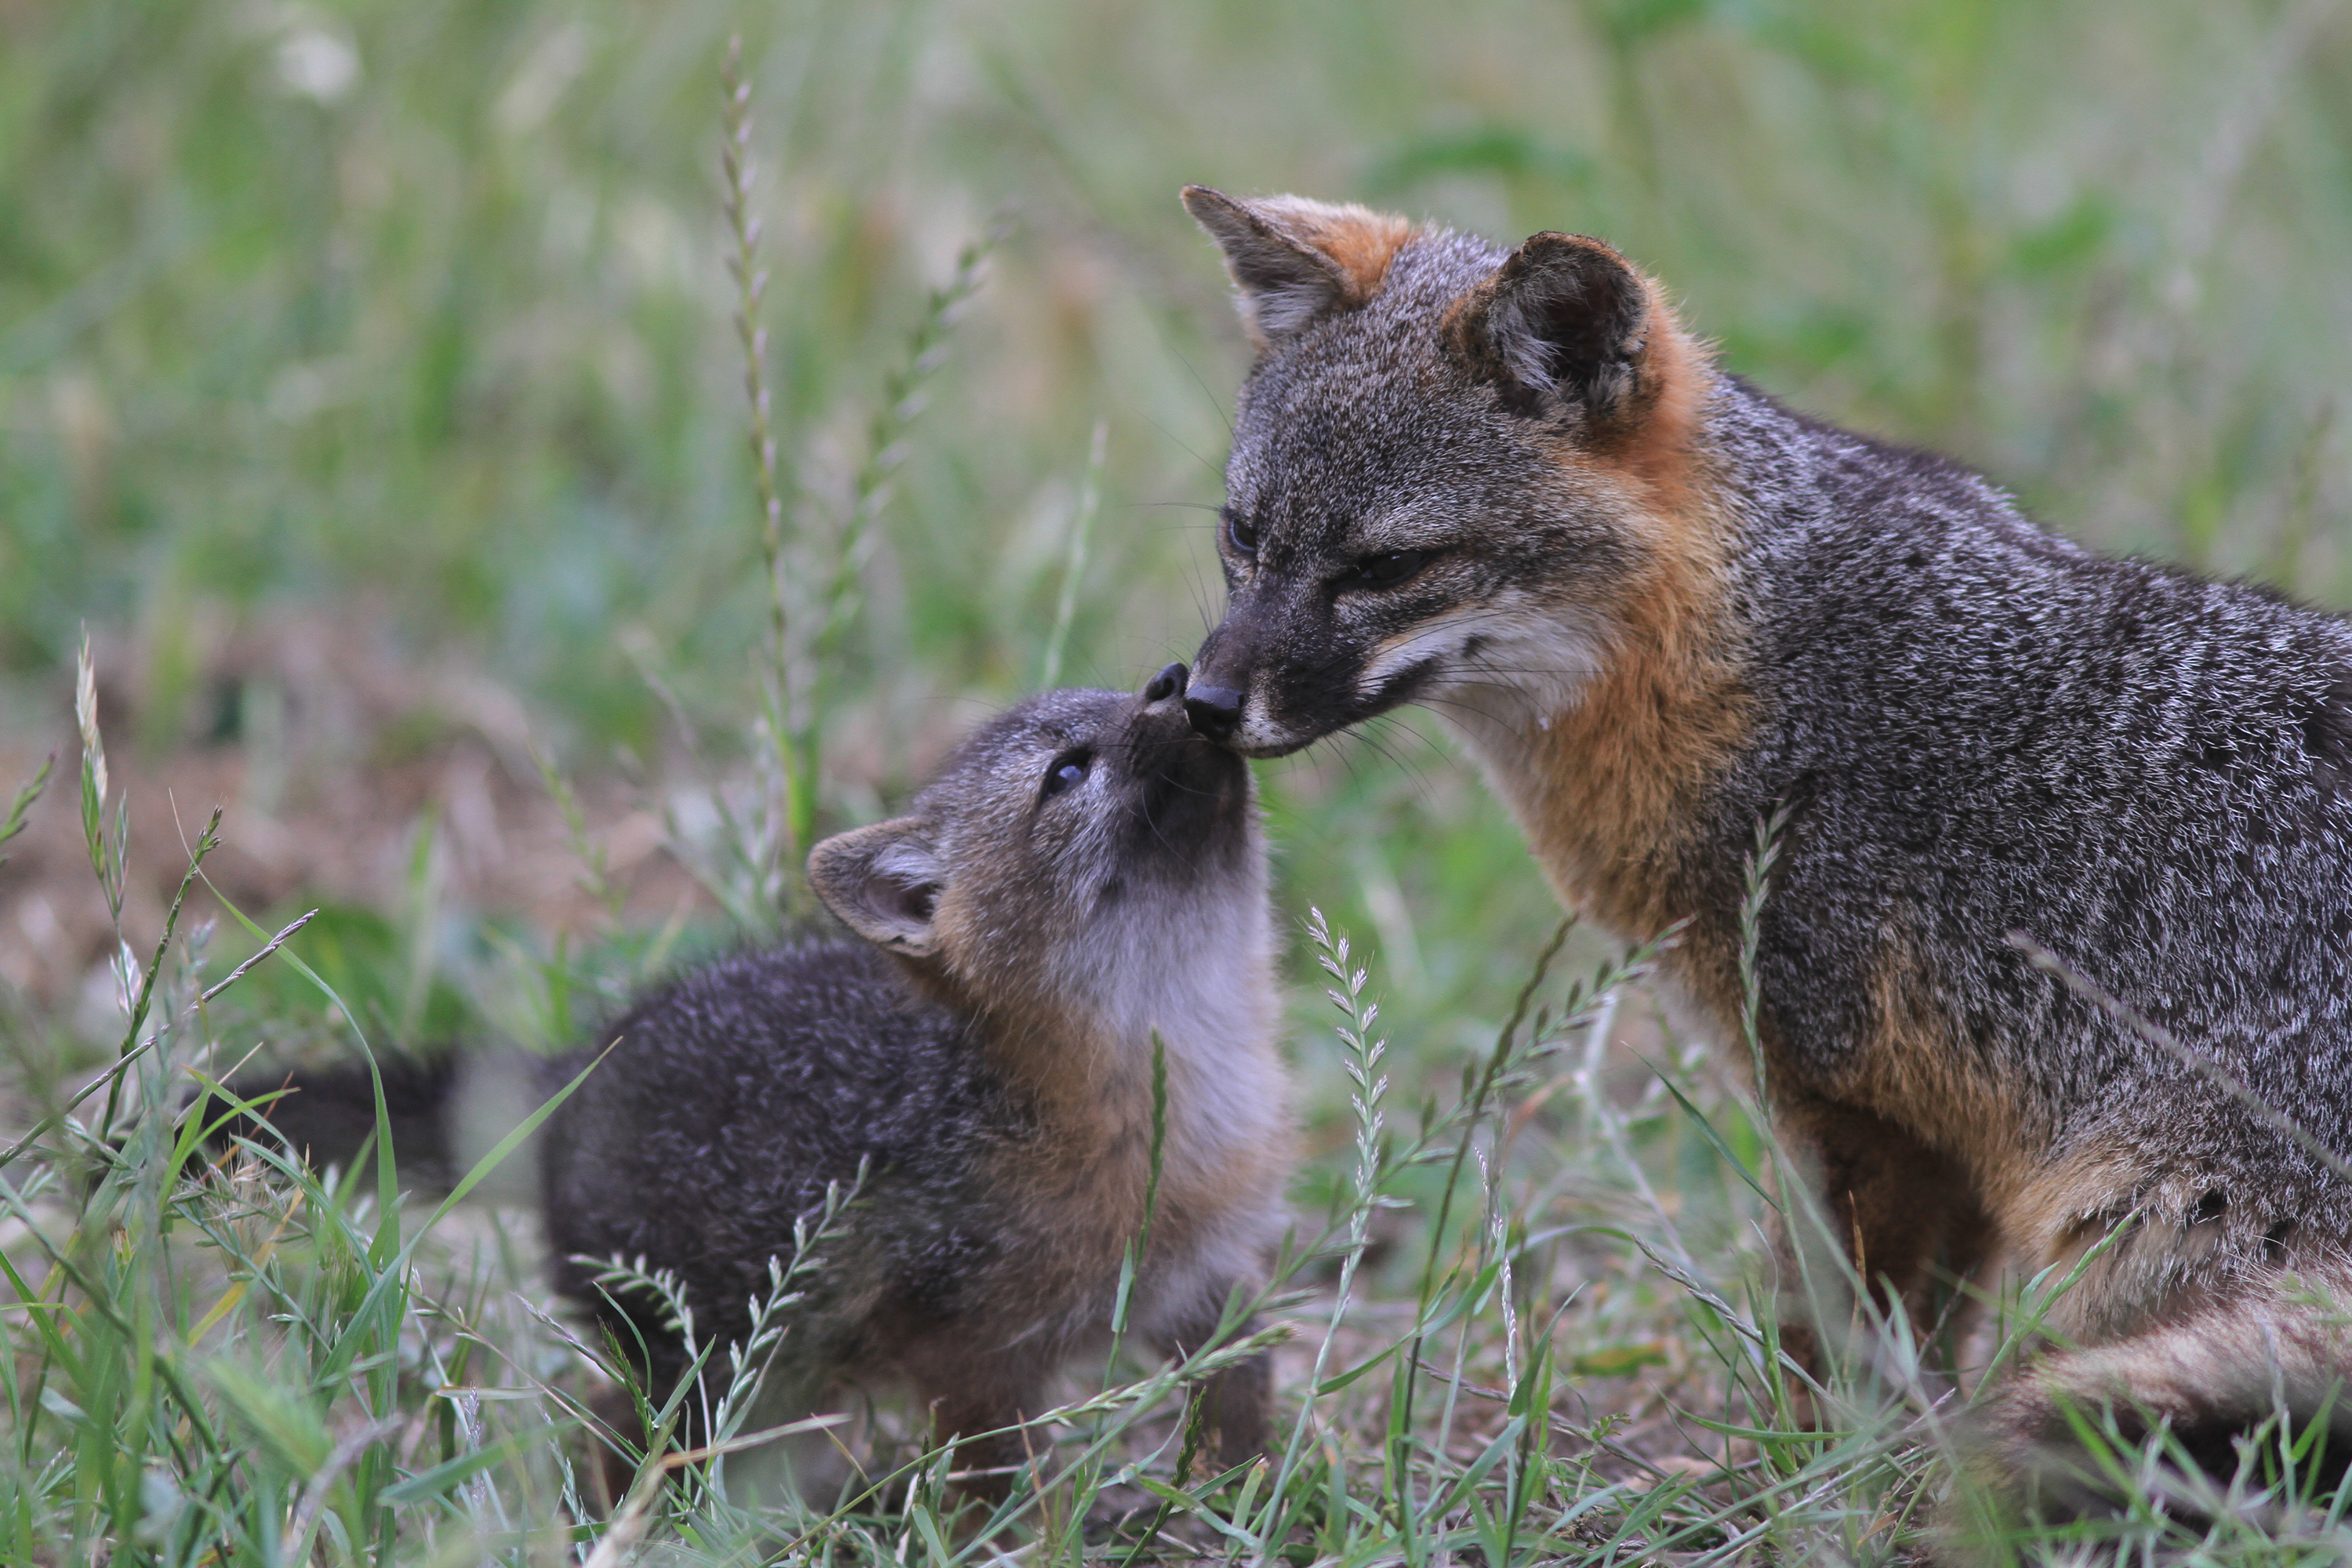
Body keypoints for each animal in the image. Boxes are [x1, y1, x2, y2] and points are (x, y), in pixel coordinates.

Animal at [222, 665, 1292, 1497]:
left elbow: (1240, 1402)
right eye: (1067, 771)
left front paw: (1236, 1498)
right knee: (613, 1431)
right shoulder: (969, 1351)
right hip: (714, 1368)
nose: (1178, 678)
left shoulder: (1210, 1278)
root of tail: (577, 1067)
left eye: (1129, 690)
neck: (1184, 1078)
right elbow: (1000, 1489)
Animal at [1173, 184, 2352, 1514]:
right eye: (1243, 537)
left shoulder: (1855, 1106)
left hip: (2142, 1222)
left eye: (1387, 567)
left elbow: (1835, 1340)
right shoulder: (1930, 1129)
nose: (1201, 704)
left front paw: (1789, 1480)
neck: (1756, 665)